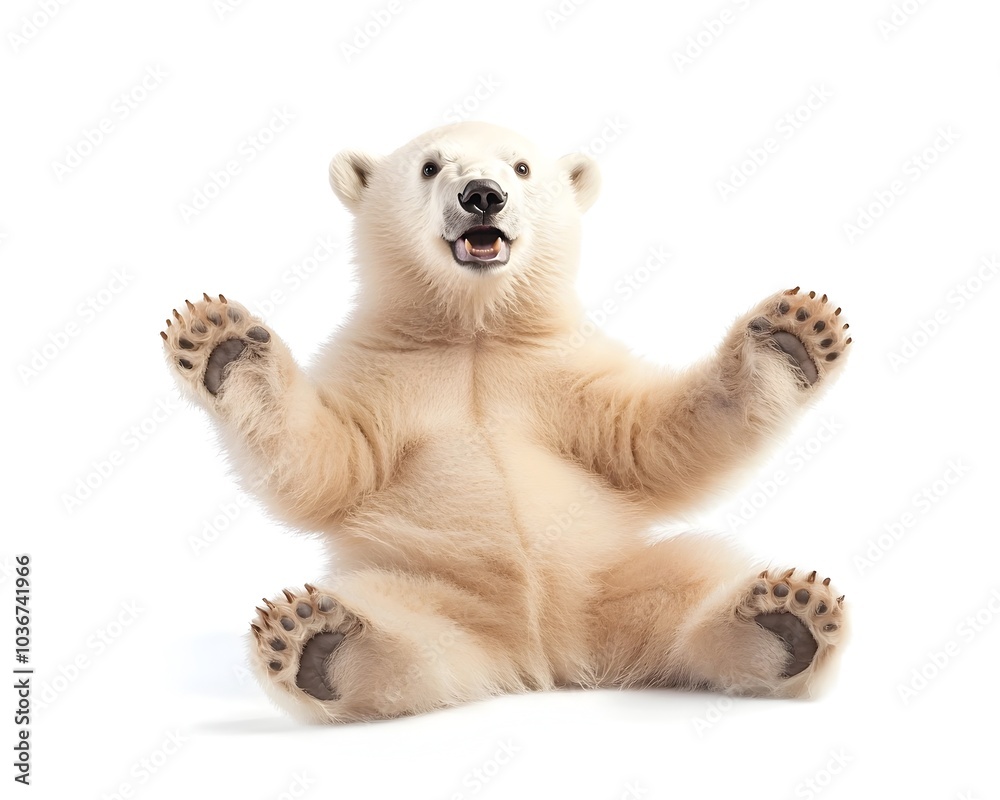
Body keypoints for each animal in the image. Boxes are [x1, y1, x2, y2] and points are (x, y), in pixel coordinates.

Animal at [160, 121, 851, 723]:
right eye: (430, 167)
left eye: (520, 167)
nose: (482, 195)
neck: (476, 332)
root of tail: (547, 657)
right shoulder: (379, 376)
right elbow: (327, 463)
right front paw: (221, 341)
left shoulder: (566, 372)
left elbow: (650, 440)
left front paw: (794, 332)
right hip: (436, 592)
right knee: (409, 637)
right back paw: (315, 639)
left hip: (613, 576)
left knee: (693, 582)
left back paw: (787, 615)